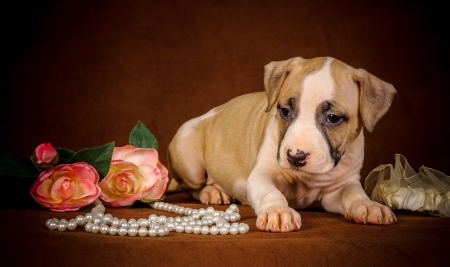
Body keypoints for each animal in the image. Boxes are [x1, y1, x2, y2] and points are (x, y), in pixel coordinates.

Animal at [168, 56, 398, 232]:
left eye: (333, 118)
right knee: (192, 186)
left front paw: (369, 205)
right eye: (285, 111)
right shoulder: (263, 174)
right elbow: (271, 193)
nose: (295, 157)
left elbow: (354, 194)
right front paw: (277, 212)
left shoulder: (341, 185)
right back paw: (212, 192)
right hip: (190, 162)